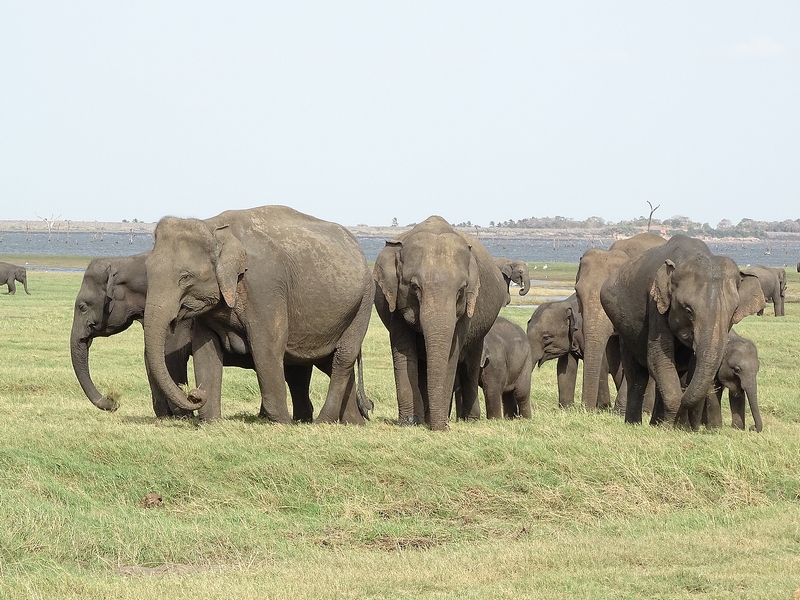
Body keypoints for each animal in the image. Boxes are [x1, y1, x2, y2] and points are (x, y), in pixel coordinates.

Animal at [142, 205, 375, 425]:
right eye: (147, 271)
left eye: (185, 277)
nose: (193, 393)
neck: (213, 225)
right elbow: (205, 351)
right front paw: (211, 424)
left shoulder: (265, 288)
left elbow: (266, 347)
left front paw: (282, 424)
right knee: (327, 361)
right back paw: (354, 423)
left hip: (363, 301)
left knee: (342, 357)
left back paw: (322, 421)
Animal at [373, 215, 508, 430]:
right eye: (414, 286)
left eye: (461, 290)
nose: (443, 427)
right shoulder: (393, 300)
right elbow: (404, 351)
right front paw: (409, 423)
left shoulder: (466, 309)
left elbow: (452, 354)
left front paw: (439, 423)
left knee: (470, 365)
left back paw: (469, 419)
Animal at [600, 234, 765, 428]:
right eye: (688, 310)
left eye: (733, 313)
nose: (753, 427)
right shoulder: (655, 305)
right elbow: (659, 359)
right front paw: (668, 427)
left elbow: (689, 367)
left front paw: (682, 427)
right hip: (624, 328)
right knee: (637, 375)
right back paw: (635, 424)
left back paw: (656, 422)